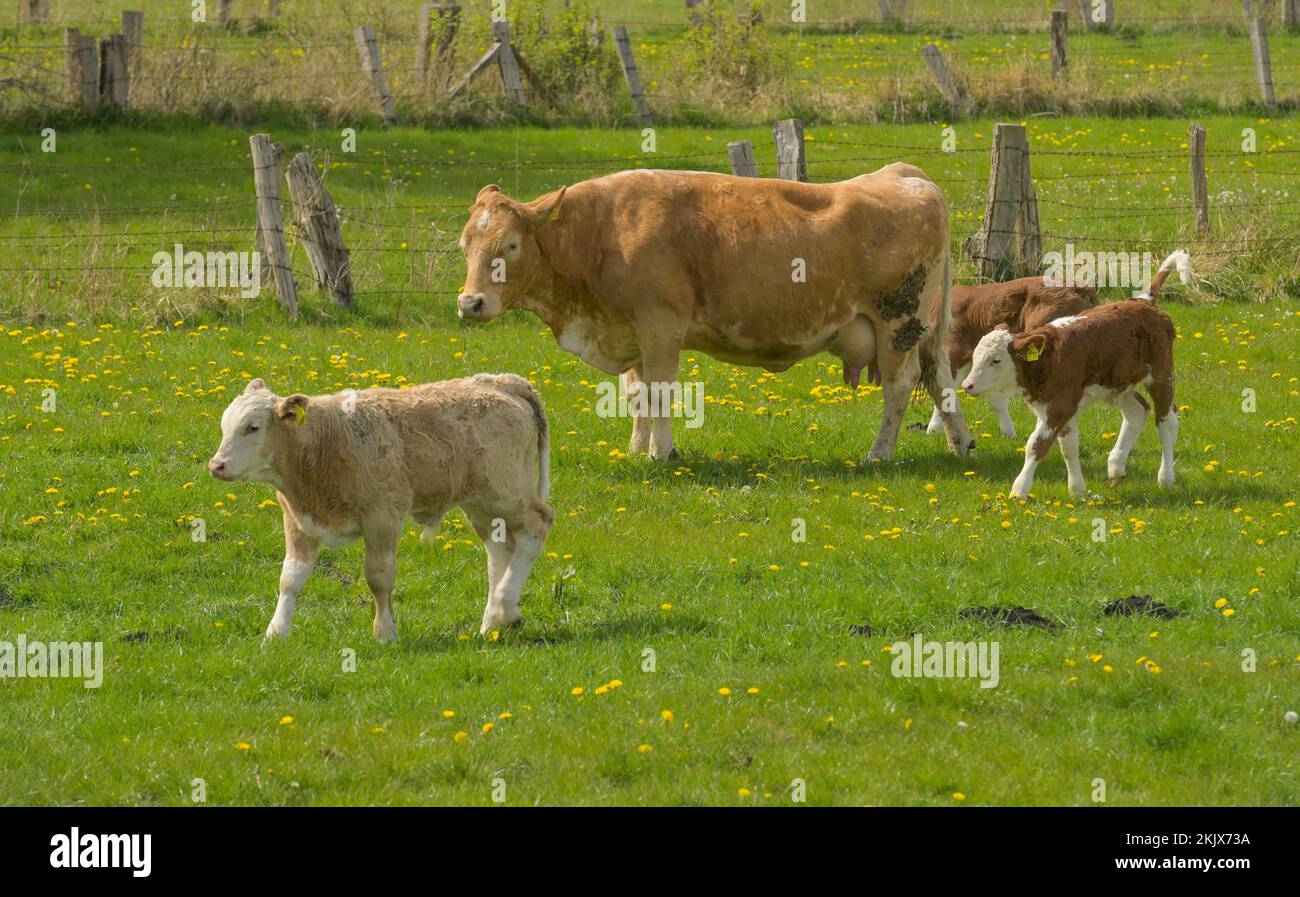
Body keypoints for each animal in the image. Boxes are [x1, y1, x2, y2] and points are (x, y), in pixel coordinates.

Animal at [206, 374, 553, 639]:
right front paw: (276, 634)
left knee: (538, 526)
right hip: (482, 505)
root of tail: (503, 381)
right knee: (500, 550)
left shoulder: (382, 517)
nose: (216, 465)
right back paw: (496, 619)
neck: (324, 442)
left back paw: (504, 606)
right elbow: (290, 578)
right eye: (224, 426)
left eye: (252, 427)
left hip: (507, 492)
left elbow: (379, 576)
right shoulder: (298, 519)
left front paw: (385, 632)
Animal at [452, 164, 972, 465]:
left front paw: (661, 454)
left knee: (900, 387)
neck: (602, 231)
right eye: (465, 244)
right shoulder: (631, 330)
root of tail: (905, 175)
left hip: (897, 323)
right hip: (922, 327)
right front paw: (637, 449)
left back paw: (878, 454)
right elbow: (637, 394)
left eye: (510, 245)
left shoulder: (660, 325)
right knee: (939, 374)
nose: (469, 303)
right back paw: (960, 442)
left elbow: (659, 392)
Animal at [967, 249, 1190, 496]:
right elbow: (1069, 447)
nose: (967, 385)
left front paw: (1019, 490)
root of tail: (1144, 300)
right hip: (1119, 382)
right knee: (1138, 411)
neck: (1050, 358)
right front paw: (1077, 490)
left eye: (996, 360)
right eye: (975, 357)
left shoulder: (1059, 405)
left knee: (1166, 422)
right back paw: (1116, 467)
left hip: (1162, 375)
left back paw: (1165, 478)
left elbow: (1036, 445)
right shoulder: (1062, 406)